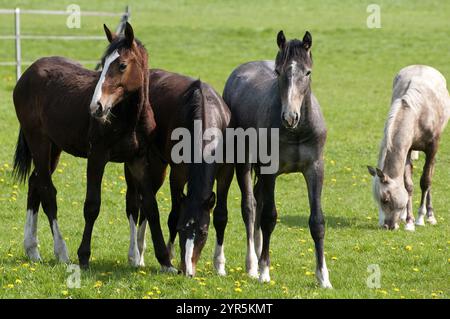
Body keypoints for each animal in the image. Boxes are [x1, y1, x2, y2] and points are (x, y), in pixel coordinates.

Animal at [12, 23, 174, 272]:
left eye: (122, 65)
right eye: (103, 62)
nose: (96, 107)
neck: (129, 117)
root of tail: (27, 74)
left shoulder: (138, 159)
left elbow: (150, 206)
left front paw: (165, 261)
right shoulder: (97, 157)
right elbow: (92, 206)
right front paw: (84, 256)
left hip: (53, 147)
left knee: (35, 183)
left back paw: (32, 250)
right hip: (38, 141)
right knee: (47, 191)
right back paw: (61, 252)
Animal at [125, 68, 232, 278]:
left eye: (203, 232)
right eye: (182, 229)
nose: (188, 271)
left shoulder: (226, 173)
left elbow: (221, 216)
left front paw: (220, 265)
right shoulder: (178, 174)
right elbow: (173, 215)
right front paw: (169, 258)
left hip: (157, 168)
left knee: (145, 202)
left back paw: (140, 255)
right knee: (133, 204)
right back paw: (134, 255)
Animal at [220, 31, 332, 288]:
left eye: (307, 72)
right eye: (279, 72)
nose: (290, 117)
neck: (297, 131)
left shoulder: (315, 169)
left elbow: (317, 222)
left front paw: (323, 277)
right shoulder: (270, 170)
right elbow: (269, 217)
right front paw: (264, 271)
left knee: (258, 202)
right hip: (243, 163)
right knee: (250, 207)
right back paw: (252, 264)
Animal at [368, 64, 448, 232]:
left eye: (385, 199)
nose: (386, 226)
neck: (418, 115)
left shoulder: (432, 148)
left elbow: (426, 181)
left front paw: (420, 219)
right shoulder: (407, 150)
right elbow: (408, 185)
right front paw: (409, 221)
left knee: (430, 176)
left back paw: (430, 216)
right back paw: (405, 216)